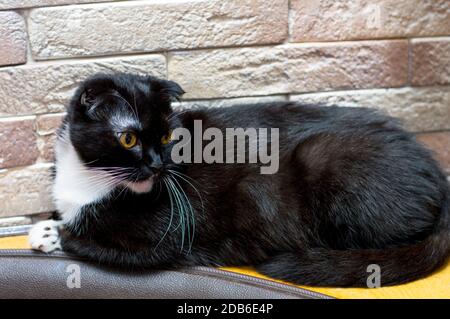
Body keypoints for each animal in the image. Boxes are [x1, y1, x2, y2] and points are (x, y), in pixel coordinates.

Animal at [29, 73, 450, 288]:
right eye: (129, 139)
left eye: (167, 136)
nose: (158, 166)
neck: (90, 178)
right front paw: (47, 222)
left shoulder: (168, 239)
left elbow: (86, 240)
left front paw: (49, 233)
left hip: (325, 158)